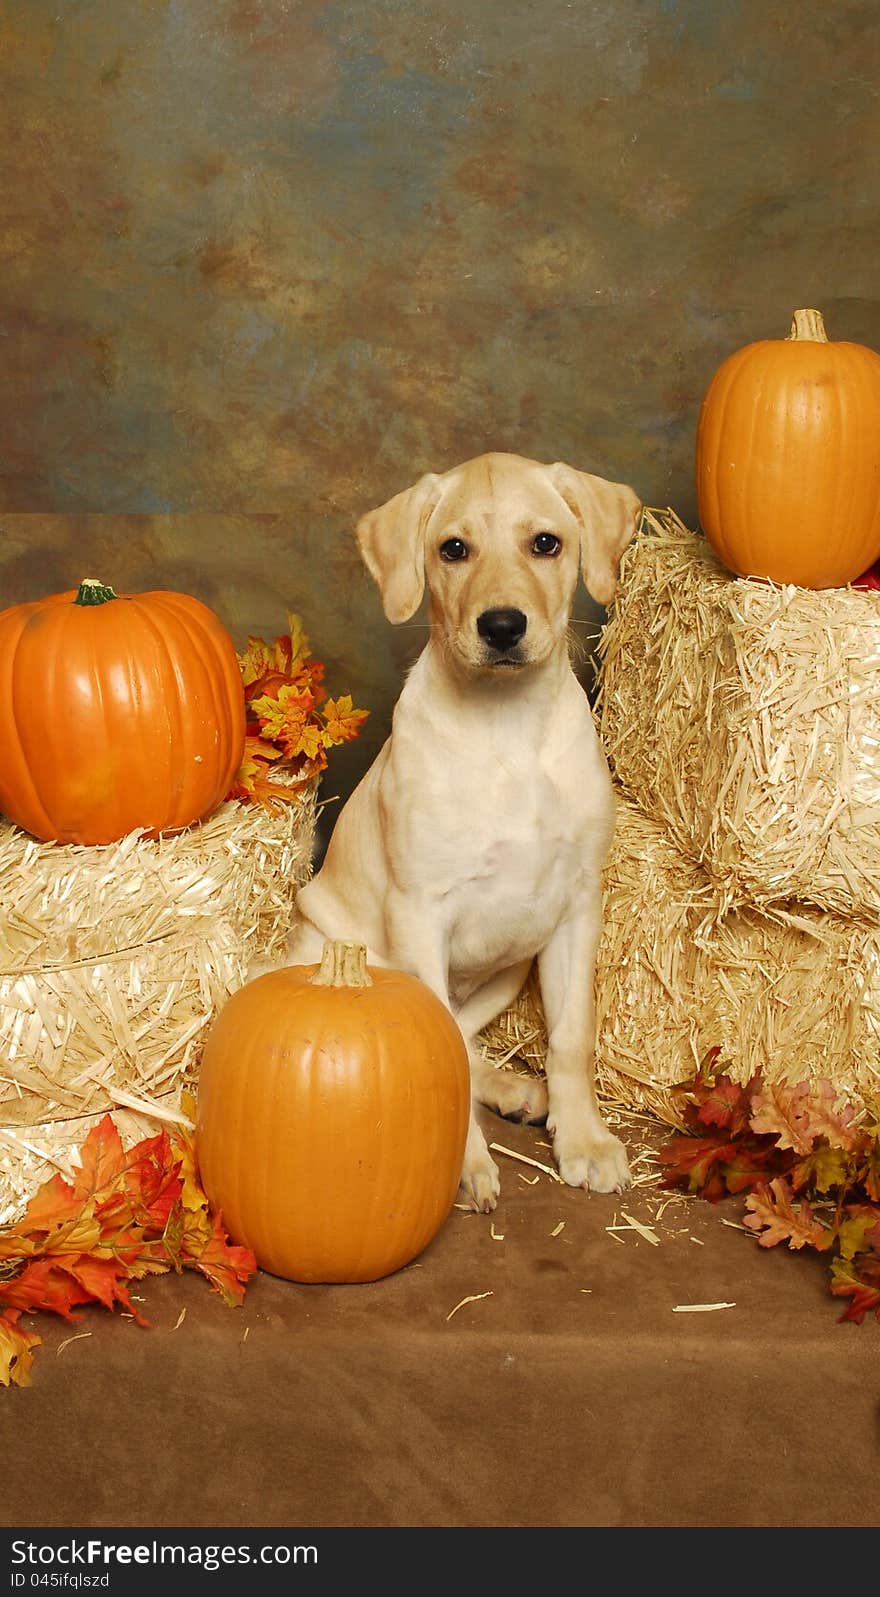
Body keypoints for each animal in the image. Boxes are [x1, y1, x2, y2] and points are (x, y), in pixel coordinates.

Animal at [289, 450, 642, 1207]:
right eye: (453, 549)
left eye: (546, 543)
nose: (502, 625)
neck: (506, 725)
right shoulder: (420, 909)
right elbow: (437, 1055)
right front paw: (466, 1163)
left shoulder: (577, 909)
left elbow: (572, 1037)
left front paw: (584, 1138)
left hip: (510, 972)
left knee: (468, 1035)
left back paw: (516, 1089)